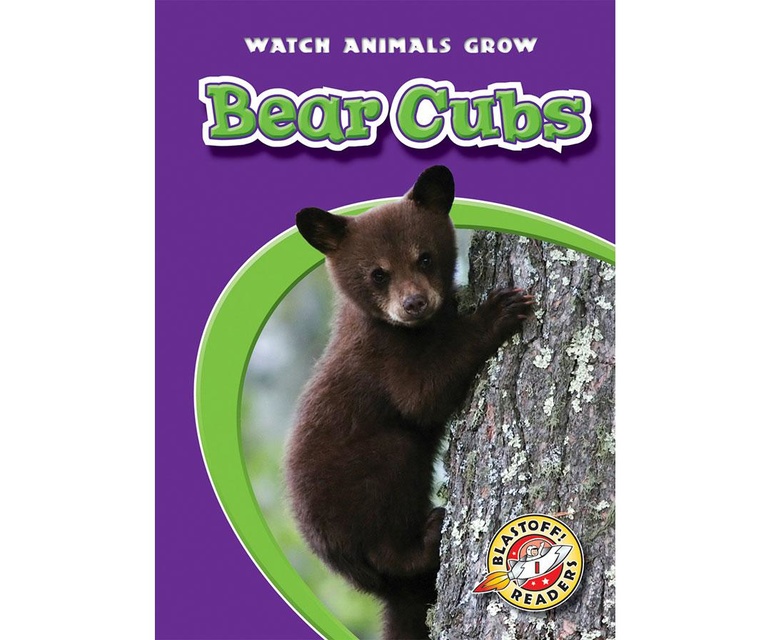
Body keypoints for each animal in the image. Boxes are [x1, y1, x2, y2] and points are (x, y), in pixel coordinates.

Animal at [286, 165, 533, 639]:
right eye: (377, 273)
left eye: (425, 257)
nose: (414, 303)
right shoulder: (382, 358)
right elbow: (422, 395)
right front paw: (500, 309)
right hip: (366, 484)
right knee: (389, 521)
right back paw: (431, 533)